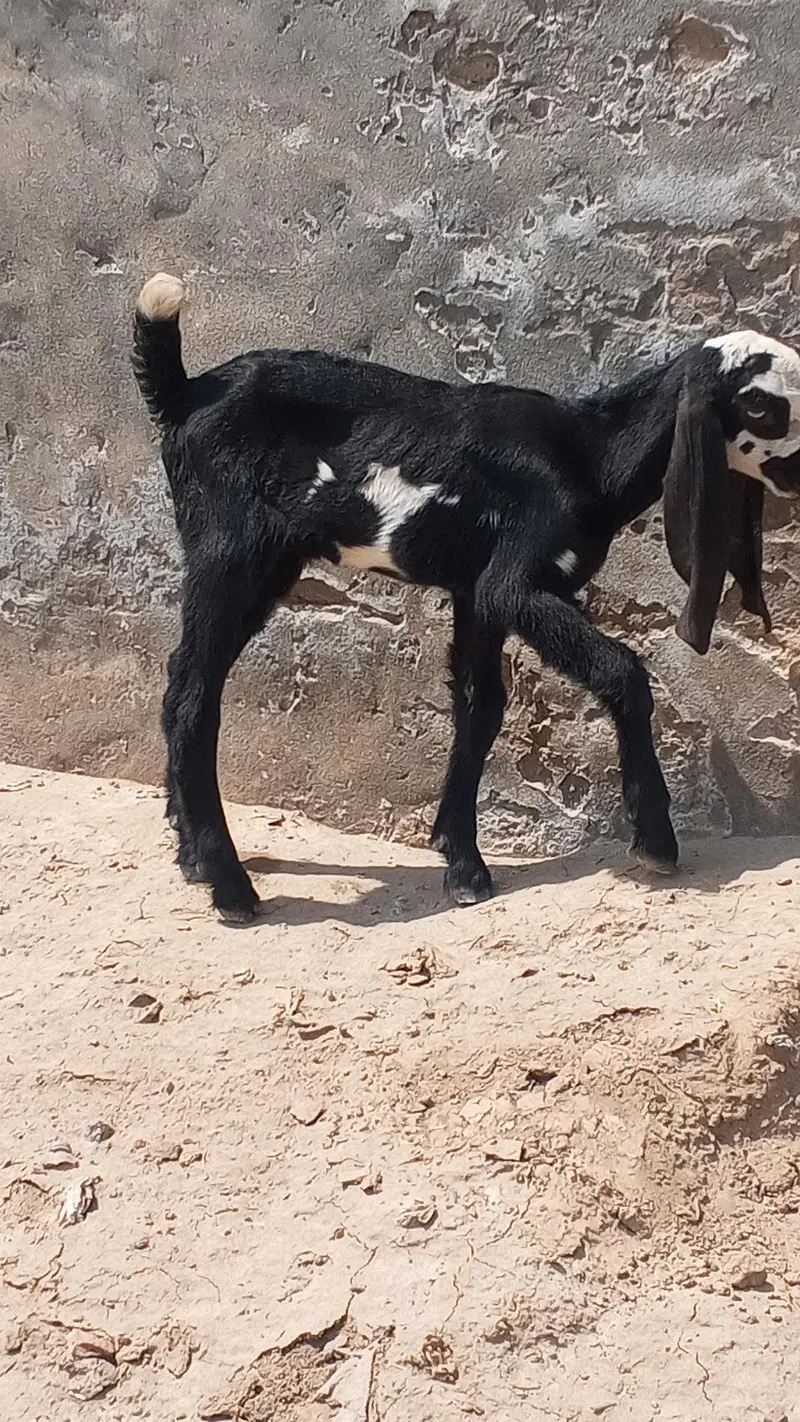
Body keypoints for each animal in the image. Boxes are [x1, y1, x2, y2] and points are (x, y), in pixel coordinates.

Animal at [132, 273, 800, 922]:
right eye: (760, 403)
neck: (589, 454)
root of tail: (185, 393)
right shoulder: (517, 580)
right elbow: (622, 671)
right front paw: (656, 840)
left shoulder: (476, 591)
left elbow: (481, 707)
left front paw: (463, 864)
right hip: (234, 549)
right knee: (192, 697)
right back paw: (230, 887)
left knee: (182, 680)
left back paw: (191, 857)